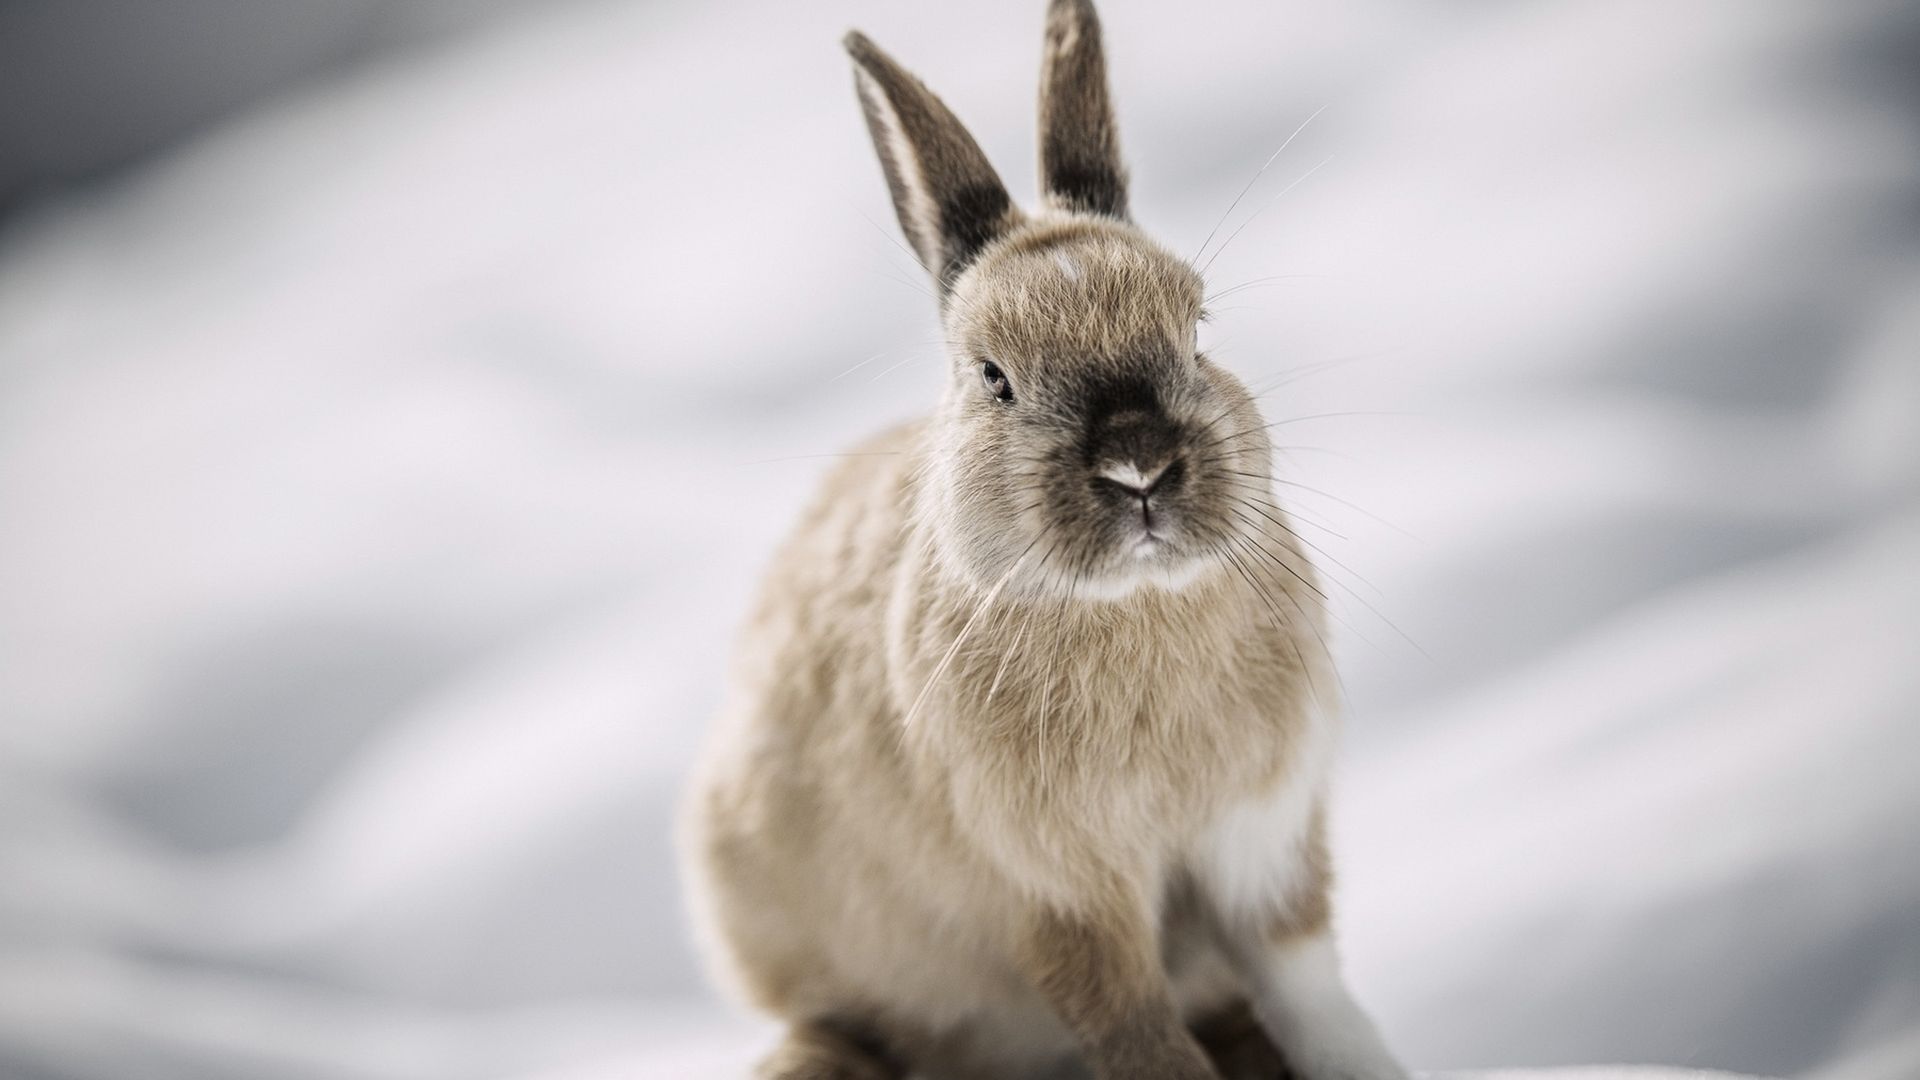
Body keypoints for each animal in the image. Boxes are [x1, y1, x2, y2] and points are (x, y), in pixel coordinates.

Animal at [683, 2, 1405, 1076]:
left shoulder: (1260, 850)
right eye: (994, 378)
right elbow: (1140, 1035)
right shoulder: (1065, 902)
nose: (1140, 465)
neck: (1133, 606)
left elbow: (1314, 997)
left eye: (1198, 330)